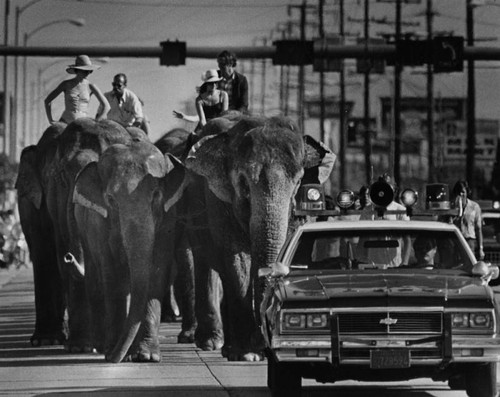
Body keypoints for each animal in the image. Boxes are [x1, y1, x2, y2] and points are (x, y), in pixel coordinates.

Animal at [15, 117, 137, 350]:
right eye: (63, 177)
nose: (69, 257)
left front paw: (91, 345)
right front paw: (82, 346)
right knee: (43, 256)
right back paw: (46, 339)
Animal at [73, 139, 189, 362]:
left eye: (156, 194)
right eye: (110, 198)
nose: (112, 358)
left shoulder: (169, 218)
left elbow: (157, 271)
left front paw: (146, 356)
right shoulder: (99, 224)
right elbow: (111, 275)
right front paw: (113, 351)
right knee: (95, 280)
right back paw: (99, 346)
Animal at [172, 113, 336, 360]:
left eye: (298, 181)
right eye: (243, 183)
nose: (263, 342)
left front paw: (253, 350)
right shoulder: (217, 199)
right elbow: (236, 258)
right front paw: (249, 354)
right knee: (206, 262)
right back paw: (213, 343)